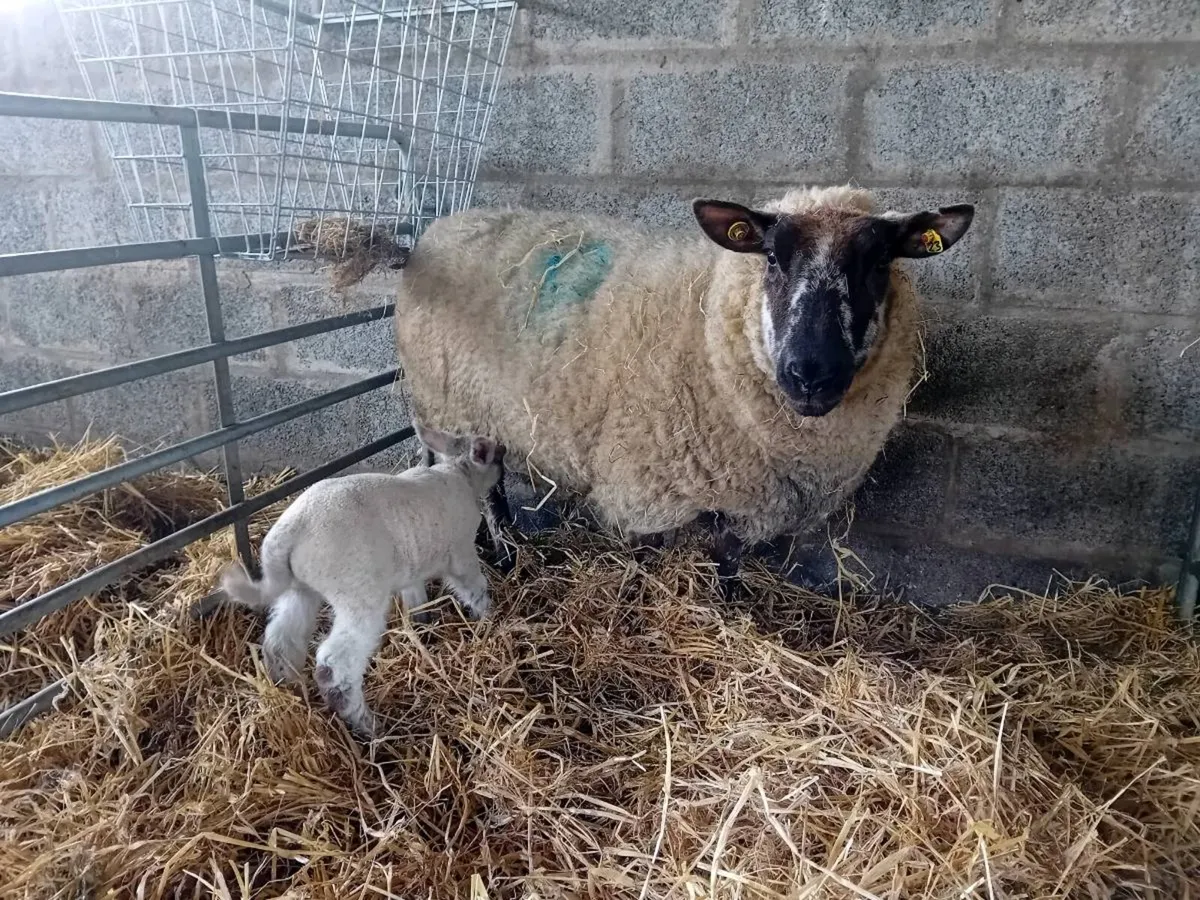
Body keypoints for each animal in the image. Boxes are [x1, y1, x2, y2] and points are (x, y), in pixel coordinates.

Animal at [220, 422, 505, 736]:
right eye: (496, 455)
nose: (505, 457)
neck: (457, 473)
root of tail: (289, 531)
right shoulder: (462, 551)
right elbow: (474, 588)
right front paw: (488, 617)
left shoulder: (412, 565)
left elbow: (415, 597)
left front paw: (422, 624)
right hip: (357, 593)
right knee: (335, 664)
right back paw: (367, 725)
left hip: (300, 588)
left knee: (281, 640)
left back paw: (288, 687)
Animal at [392, 185, 973, 594]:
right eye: (771, 258)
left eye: (880, 263)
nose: (810, 374)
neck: (710, 327)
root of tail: (440, 227)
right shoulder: (645, 478)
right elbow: (648, 555)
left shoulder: (748, 492)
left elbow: (728, 555)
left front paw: (730, 607)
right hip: (456, 406)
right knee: (487, 491)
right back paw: (507, 556)